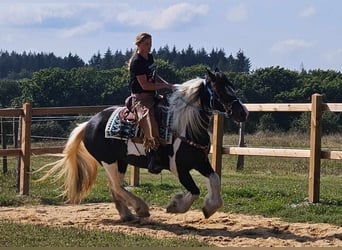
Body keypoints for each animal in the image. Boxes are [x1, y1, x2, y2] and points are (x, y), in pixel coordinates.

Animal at [38, 68, 248, 221]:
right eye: (221, 91)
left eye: (232, 88)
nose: (243, 113)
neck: (185, 126)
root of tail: (88, 123)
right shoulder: (178, 168)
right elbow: (194, 191)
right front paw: (175, 206)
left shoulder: (200, 161)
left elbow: (215, 179)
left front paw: (209, 208)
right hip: (108, 160)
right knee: (117, 186)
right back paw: (141, 209)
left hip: (121, 162)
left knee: (115, 186)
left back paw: (127, 214)